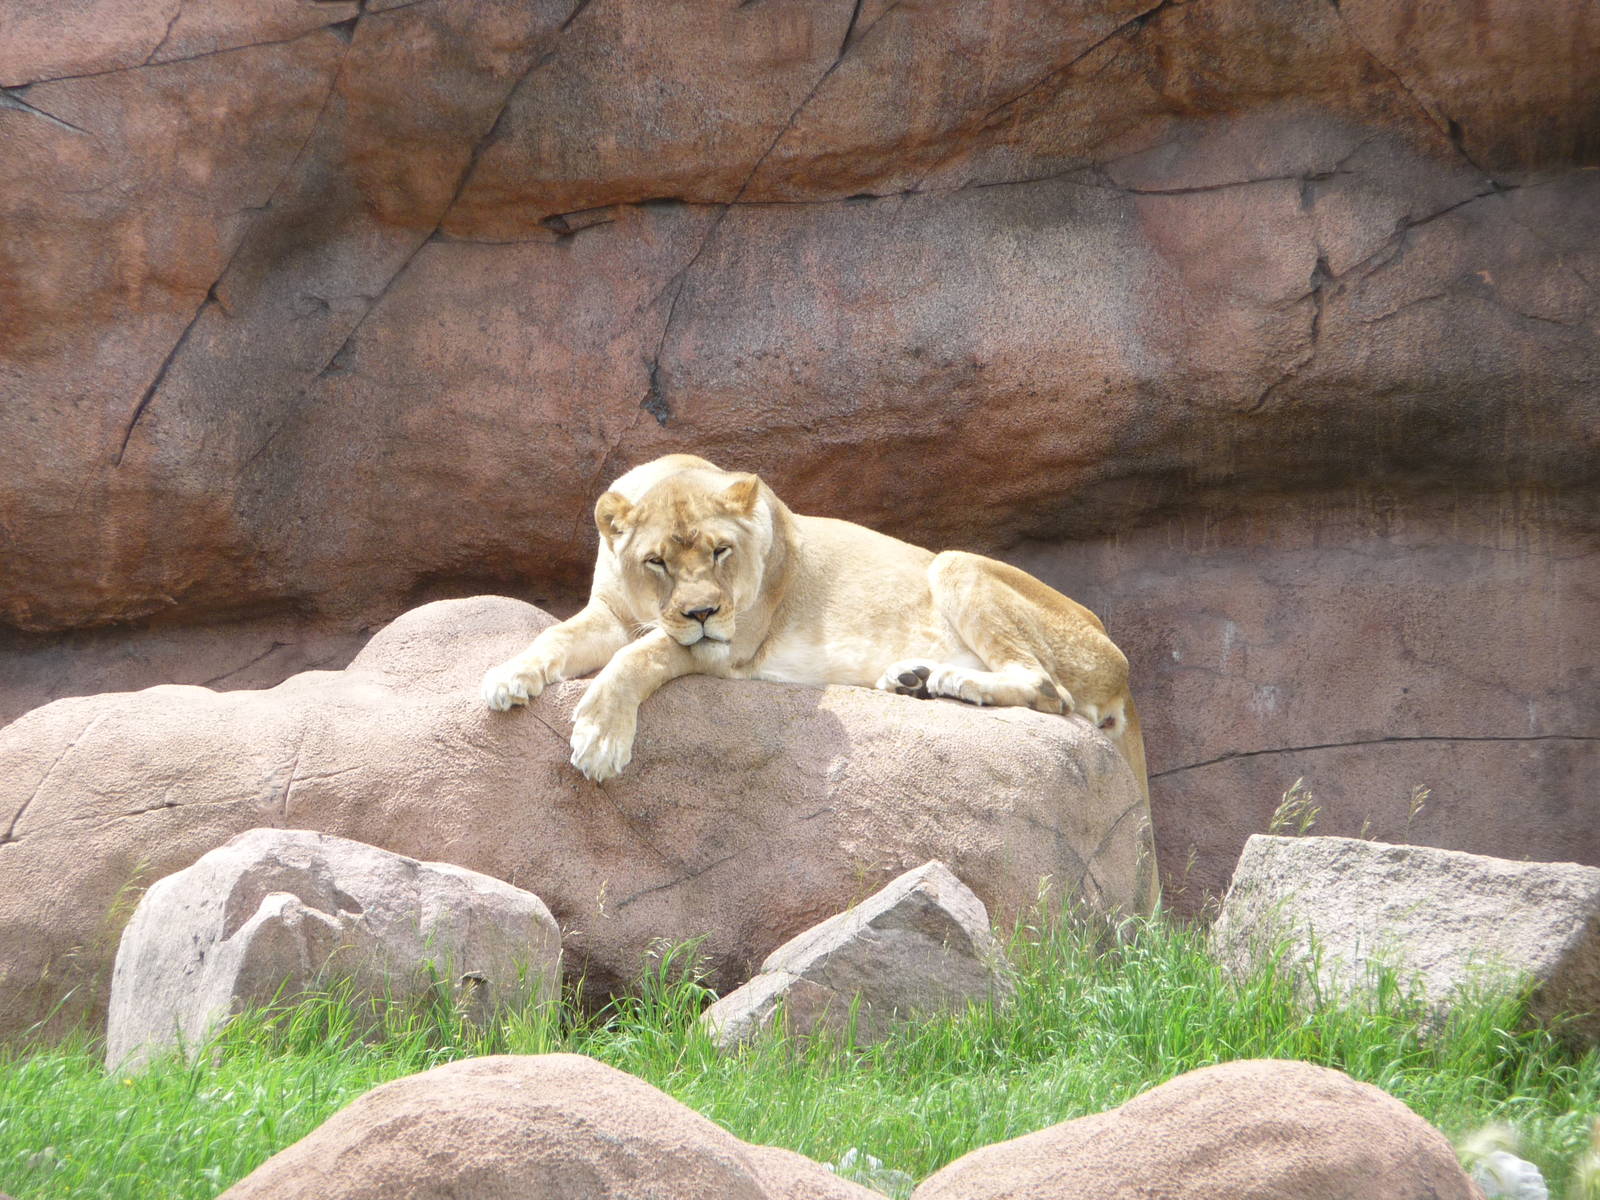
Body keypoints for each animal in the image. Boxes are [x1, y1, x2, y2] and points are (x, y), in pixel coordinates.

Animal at [481, 454, 1146, 794]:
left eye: (721, 551)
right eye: (656, 561)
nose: (701, 612)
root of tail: (1122, 664)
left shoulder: (731, 647)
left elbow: (640, 657)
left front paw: (599, 738)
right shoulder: (610, 612)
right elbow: (554, 635)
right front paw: (508, 676)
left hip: (956, 563)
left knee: (1048, 690)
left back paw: (954, 683)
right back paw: (913, 678)